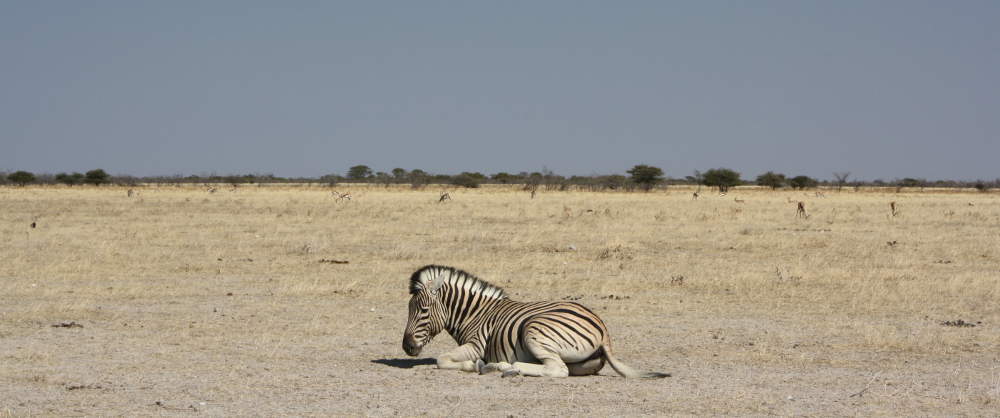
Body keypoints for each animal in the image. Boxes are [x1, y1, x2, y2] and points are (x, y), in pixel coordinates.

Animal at [402, 268, 668, 378]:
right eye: (409, 309)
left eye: (423, 310)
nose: (407, 347)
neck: (475, 314)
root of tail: (602, 329)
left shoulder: (476, 345)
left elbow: (441, 359)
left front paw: (471, 365)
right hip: (580, 362)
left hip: (533, 330)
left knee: (556, 370)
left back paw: (504, 367)